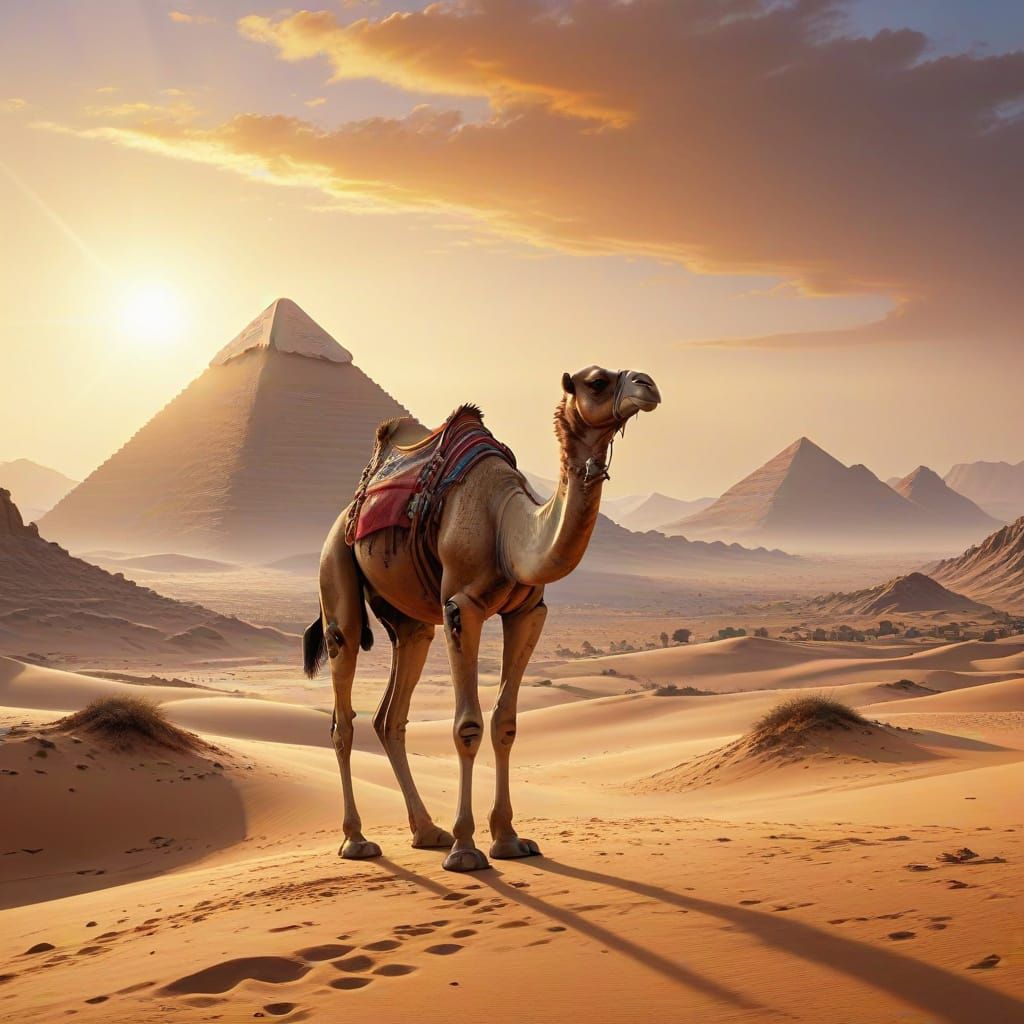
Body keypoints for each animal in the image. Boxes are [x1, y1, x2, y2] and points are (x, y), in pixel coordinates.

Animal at [304, 365, 661, 871]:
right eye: (596, 381)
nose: (647, 384)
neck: (509, 527)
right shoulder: (462, 607)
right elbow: (466, 726)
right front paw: (466, 849)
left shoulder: (529, 612)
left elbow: (505, 723)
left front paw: (509, 839)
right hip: (336, 569)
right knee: (343, 707)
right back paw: (357, 840)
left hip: (411, 621)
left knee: (391, 714)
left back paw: (426, 831)